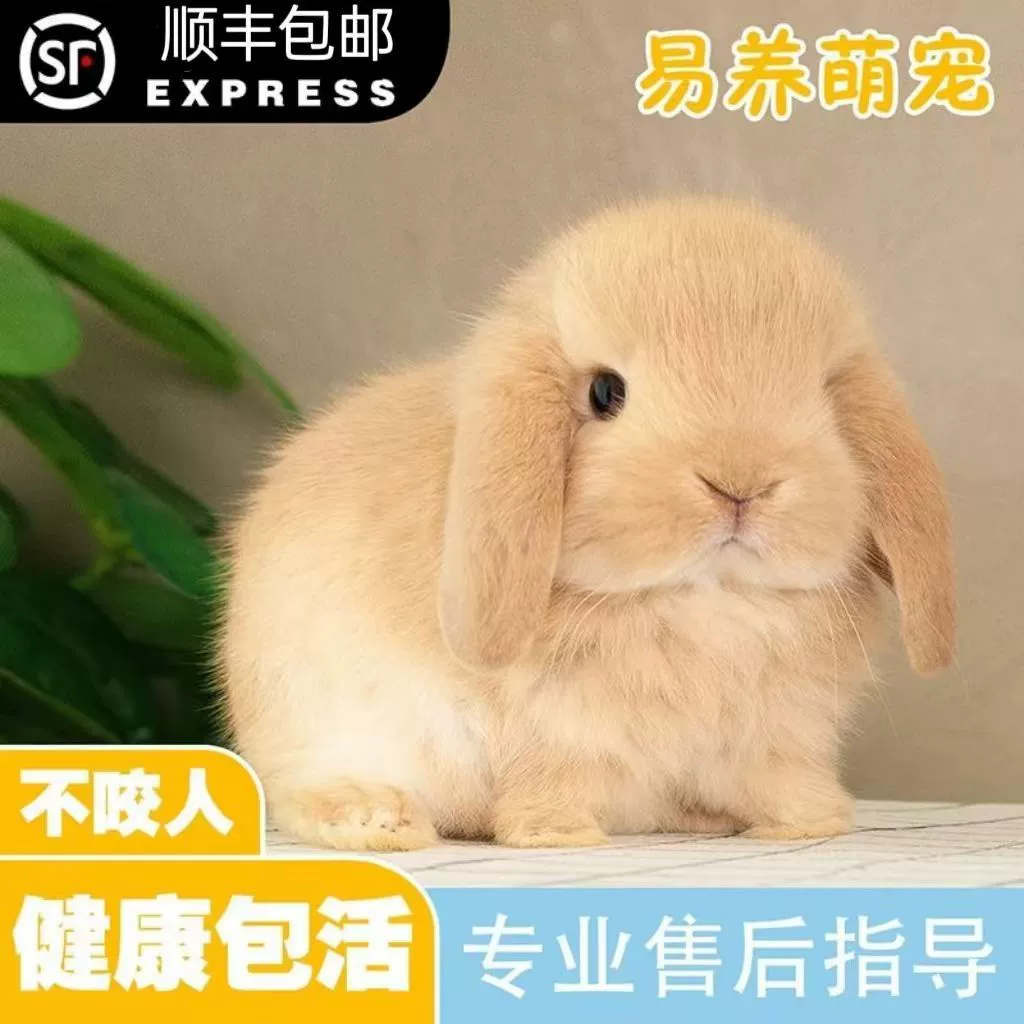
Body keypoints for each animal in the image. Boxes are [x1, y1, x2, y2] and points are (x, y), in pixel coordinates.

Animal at [217, 197, 955, 852]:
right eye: (605, 392)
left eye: (823, 394)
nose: (740, 483)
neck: (705, 600)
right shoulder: (555, 734)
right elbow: (552, 782)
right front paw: (557, 837)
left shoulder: (777, 739)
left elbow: (783, 782)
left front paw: (813, 824)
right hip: (322, 721)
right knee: (299, 793)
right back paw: (381, 821)